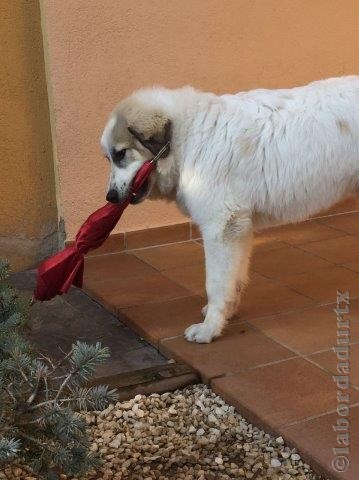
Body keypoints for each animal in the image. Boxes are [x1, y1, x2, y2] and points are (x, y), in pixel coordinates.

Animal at [100, 77, 359, 344]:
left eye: (121, 154)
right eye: (108, 158)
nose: (110, 197)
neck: (186, 138)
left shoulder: (221, 226)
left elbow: (215, 282)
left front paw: (209, 328)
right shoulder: (239, 228)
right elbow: (235, 278)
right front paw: (227, 312)